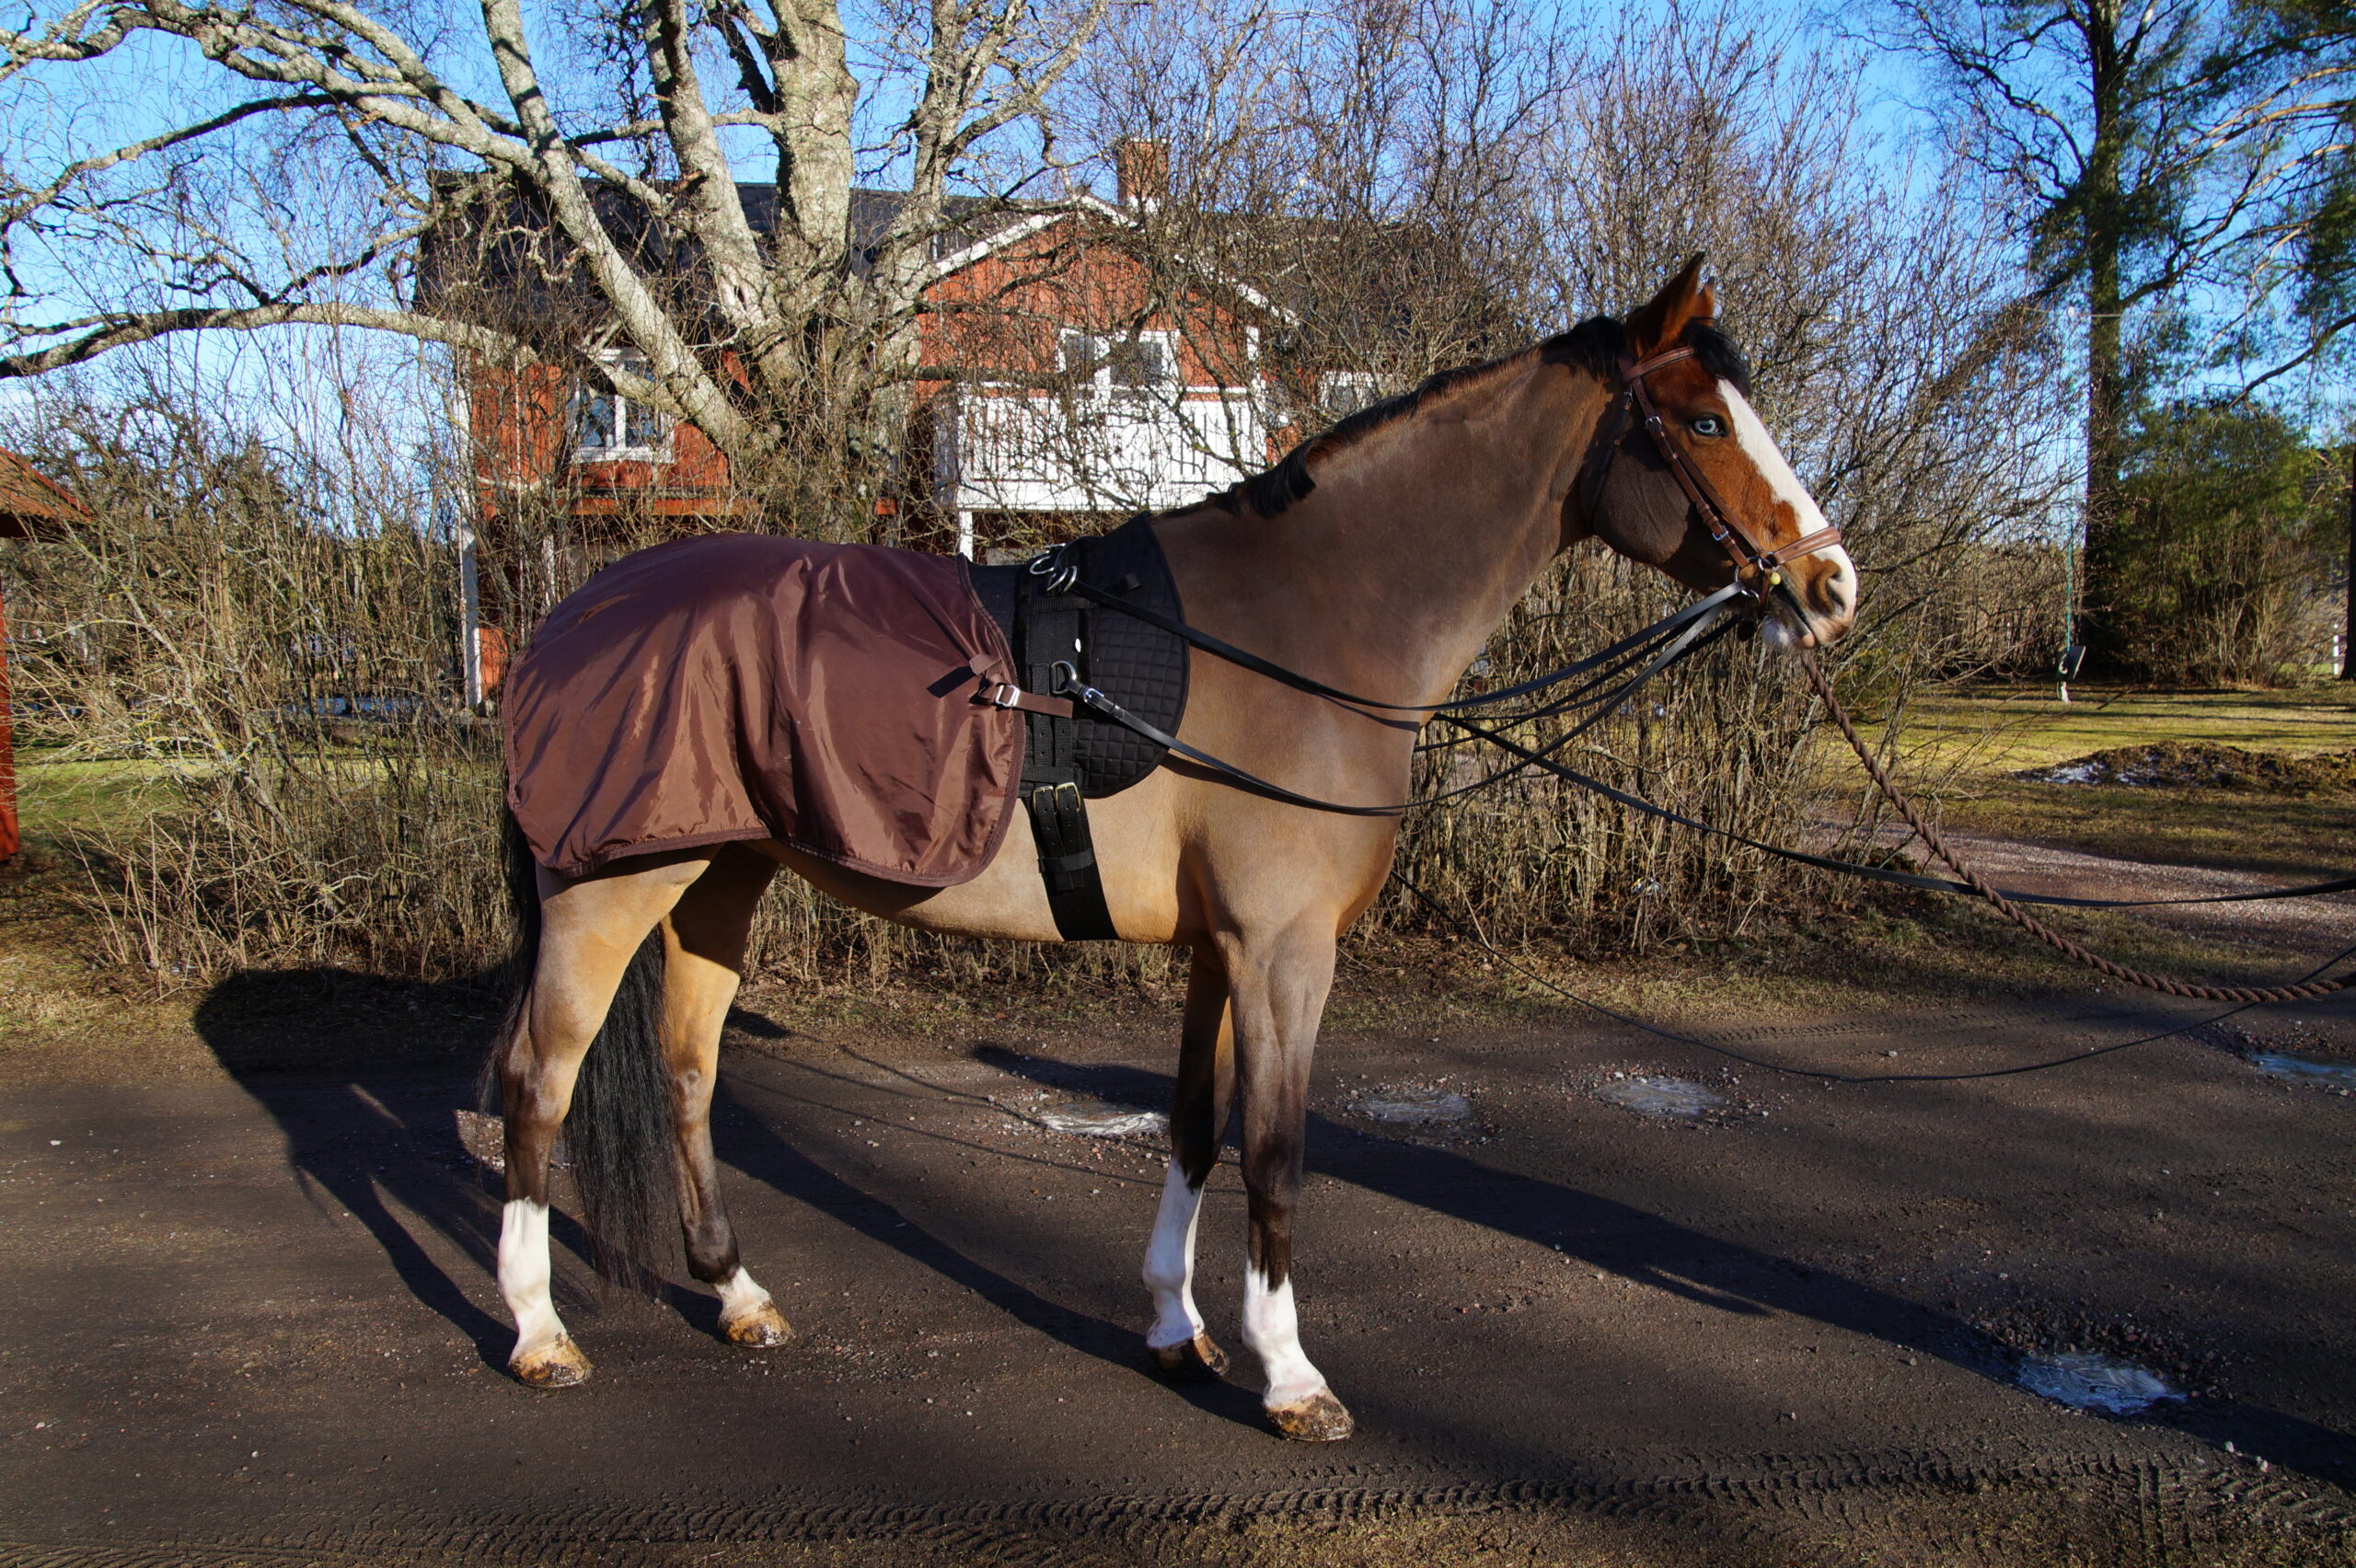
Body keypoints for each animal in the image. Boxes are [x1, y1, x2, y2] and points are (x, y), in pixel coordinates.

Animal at [487, 256, 1856, 1440]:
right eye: (1707, 423)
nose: (1830, 587)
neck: (1315, 622)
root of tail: (569, 617)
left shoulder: (1219, 950)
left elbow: (1195, 1128)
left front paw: (1174, 1329)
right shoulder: (1282, 951)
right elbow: (1278, 1153)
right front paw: (1291, 1377)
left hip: (719, 878)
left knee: (687, 1075)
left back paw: (737, 1297)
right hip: (610, 891)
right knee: (538, 1084)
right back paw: (540, 1333)